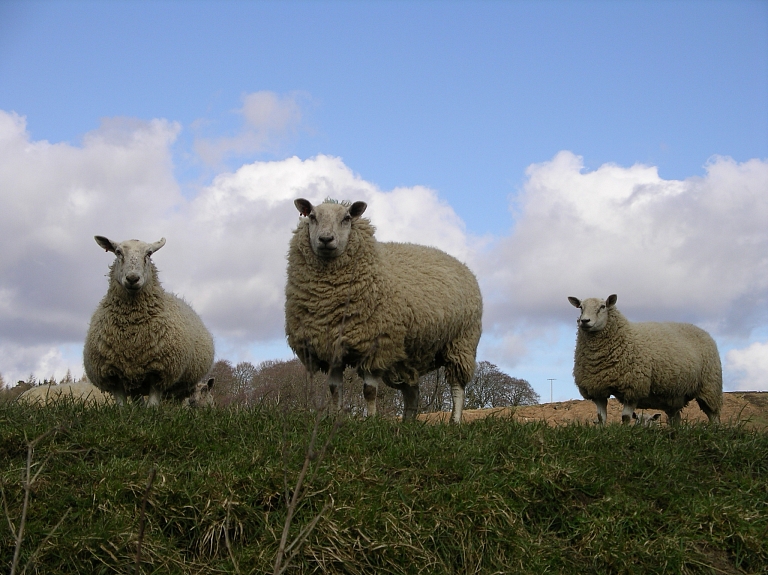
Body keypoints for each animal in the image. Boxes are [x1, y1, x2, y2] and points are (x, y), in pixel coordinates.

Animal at [83, 236, 214, 408]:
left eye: (149, 253)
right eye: (118, 252)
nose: (132, 278)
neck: (132, 331)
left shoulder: (160, 371)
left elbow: (152, 405)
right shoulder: (112, 374)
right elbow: (121, 406)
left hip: (183, 386)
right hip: (133, 380)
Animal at [284, 198, 484, 424]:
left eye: (347, 218)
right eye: (312, 216)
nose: (326, 239)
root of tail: (463, 265)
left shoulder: (375, 345)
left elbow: (369, 391)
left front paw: (371, 421)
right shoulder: (330, 346)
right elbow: (335, 389)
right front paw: (336, 419)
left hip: (461, 343)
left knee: (457, 387)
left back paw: (455, 421)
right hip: (408, 355)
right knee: (412, 392)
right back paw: (407, 424)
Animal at [568, 294, 724, 426]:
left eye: (602, 306)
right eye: (580, 307)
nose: (584, 321)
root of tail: (703, 331)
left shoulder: (633, 387)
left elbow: (626, 417)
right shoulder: (597, 389)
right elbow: (601, 418)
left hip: (710, 386)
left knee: (713, 415)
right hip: (673, 395)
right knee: (675, 418)